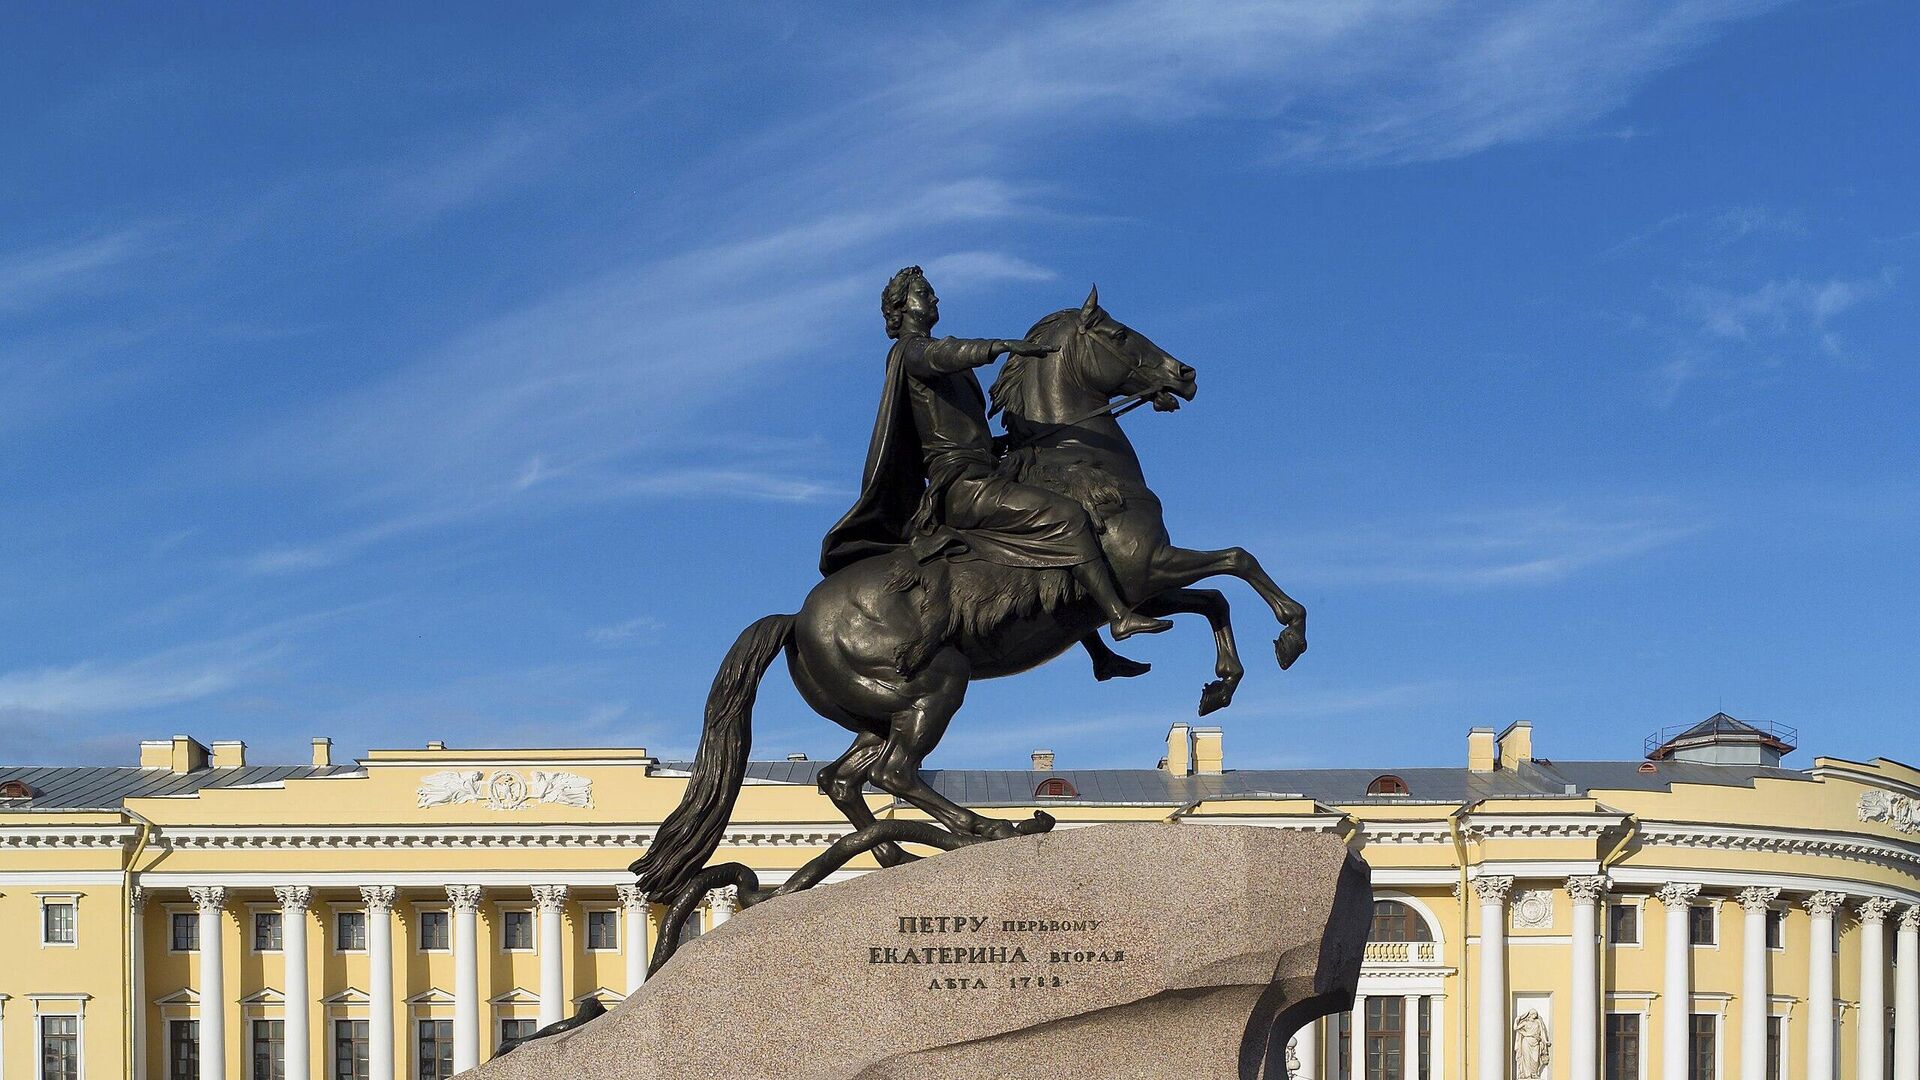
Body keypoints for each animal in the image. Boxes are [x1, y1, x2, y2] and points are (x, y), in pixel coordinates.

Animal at [629, 286, 1305, 899]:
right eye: (1118, 334)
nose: (1184, 375)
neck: (1080, 463)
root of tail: (795, 618)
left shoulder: (1145, 586)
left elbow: (1215, 598)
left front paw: (1220, 685)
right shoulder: (1147, 572)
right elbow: (1238, 562)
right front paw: (1289, 635)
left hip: (878, 713)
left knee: (842, 780)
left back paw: (902, 854)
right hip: (934, 686)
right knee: (896, 773)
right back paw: (986, 828)